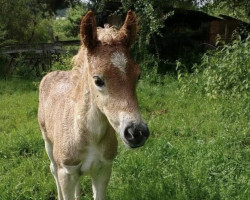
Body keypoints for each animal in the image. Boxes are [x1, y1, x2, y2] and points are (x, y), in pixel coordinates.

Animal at [38, 10, 149, 200]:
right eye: (98, 80)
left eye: (138, 75)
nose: (137, 132)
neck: (88, 136)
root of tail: (50, 74)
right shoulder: (66, 173)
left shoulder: (103, 170)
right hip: (48, 142)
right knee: (52, 168)